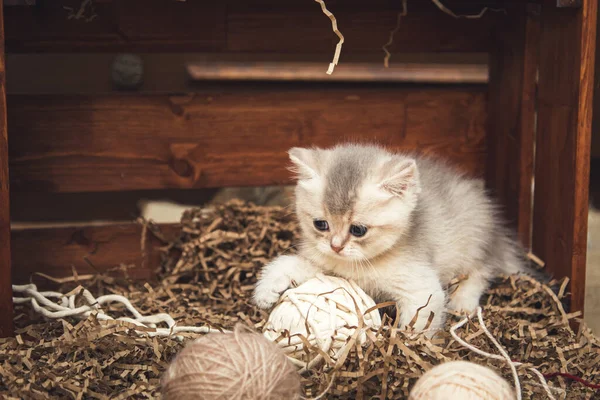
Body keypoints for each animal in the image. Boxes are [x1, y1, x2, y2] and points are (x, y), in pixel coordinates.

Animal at [253, 145, 536, 332]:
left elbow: (421, 318)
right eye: (320, 224)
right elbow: (288, 262)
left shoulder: (421, 287)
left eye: (358, 230)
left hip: (473, 241)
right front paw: (267, 289)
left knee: (482, 270)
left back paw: (464, 300)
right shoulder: (325, 263)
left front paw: (407, 342)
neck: (359, 264)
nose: (336, 246)